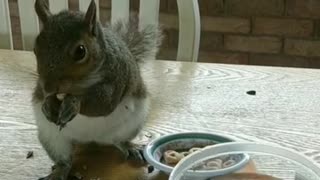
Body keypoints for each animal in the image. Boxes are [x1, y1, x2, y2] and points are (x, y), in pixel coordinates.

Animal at [31, 0, 162, 179]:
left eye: (80, 51)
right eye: (35, 48)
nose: (48, 87)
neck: (77, 86)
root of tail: (90, 139)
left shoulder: (116, 78)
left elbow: (102, 105)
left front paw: (73, 104)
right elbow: (43, 96)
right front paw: (47, 105)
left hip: (132, 124)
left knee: (117, 140)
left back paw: (130, 148)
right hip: (52, 138)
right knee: (64, 161)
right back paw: (58, 172)